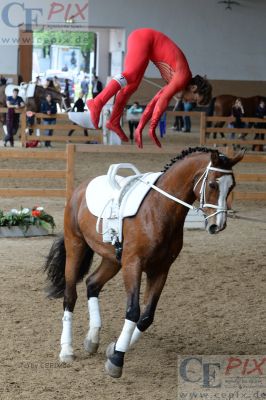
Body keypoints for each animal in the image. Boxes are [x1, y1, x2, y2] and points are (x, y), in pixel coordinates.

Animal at [44, 147, 245, 378]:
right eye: (212, 184)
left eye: (232, 186)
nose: (217, 225)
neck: (159, 210)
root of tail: (80, 188)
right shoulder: (134, 265)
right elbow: (133, 311)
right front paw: (117, 361)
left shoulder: (161, 270)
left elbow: (147, 316)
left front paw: (114, 349)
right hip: (75, 247)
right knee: (70, 296)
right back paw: (67, 350)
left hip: (113, 260)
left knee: (92, 283)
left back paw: (92, 339)